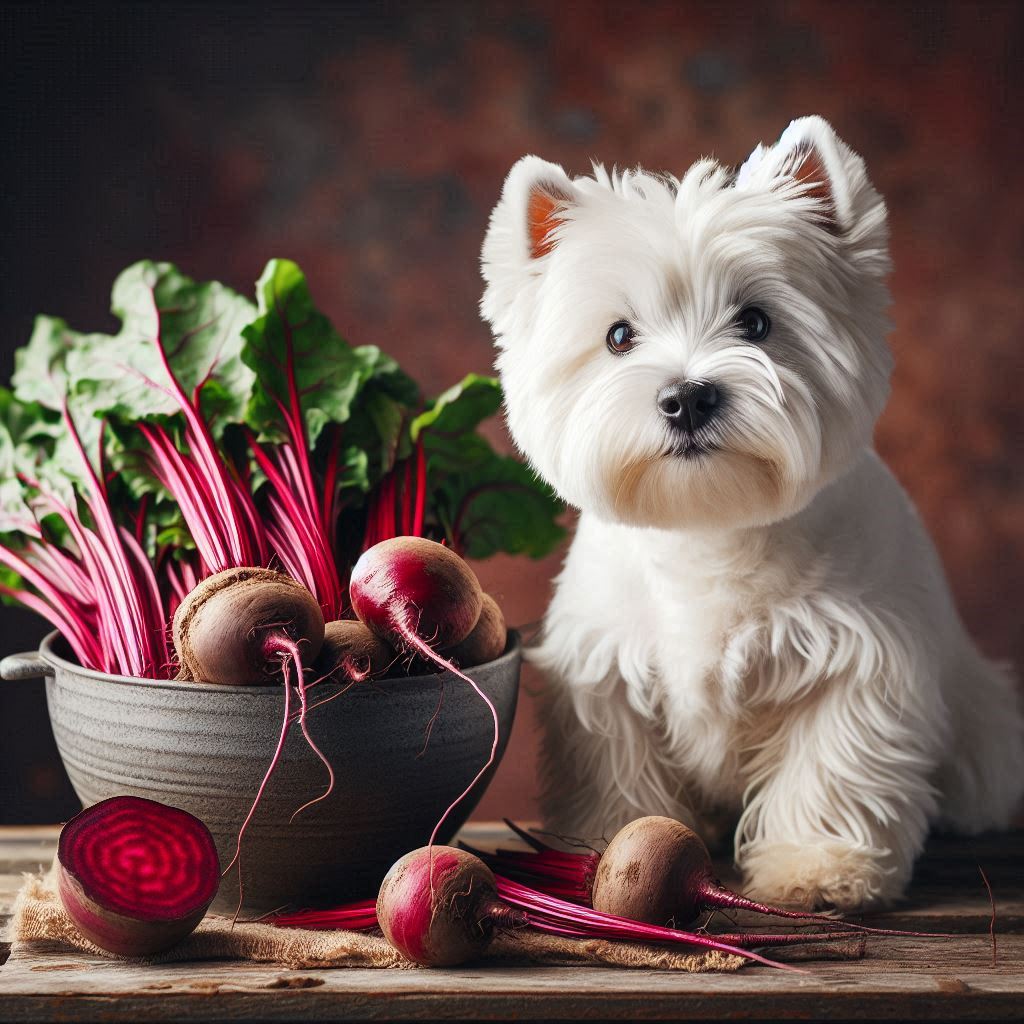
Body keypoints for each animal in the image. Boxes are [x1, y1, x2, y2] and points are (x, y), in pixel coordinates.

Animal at [479, 116, 1024, 909]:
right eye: (618, 336)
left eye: (757, 322)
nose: (687, 397)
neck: (713, 528)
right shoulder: (608, 675)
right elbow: (620, 772)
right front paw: (606, 844)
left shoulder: (858, 665)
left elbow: (830, 766)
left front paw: (817, 867)